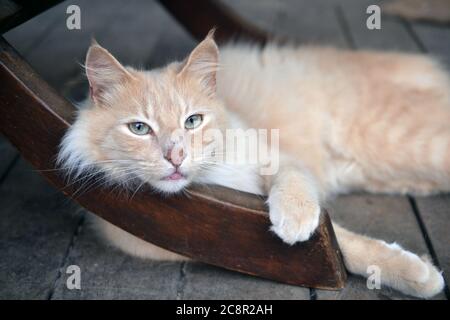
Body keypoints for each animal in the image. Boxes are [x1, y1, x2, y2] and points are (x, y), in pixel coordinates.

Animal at [58, 31, 448, 298]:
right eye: (139, 128)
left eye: (193, 121)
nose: (176, 156)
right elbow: (342, 245)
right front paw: (419, 274)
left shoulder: (278, 158)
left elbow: (301, 196)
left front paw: (294, 219)